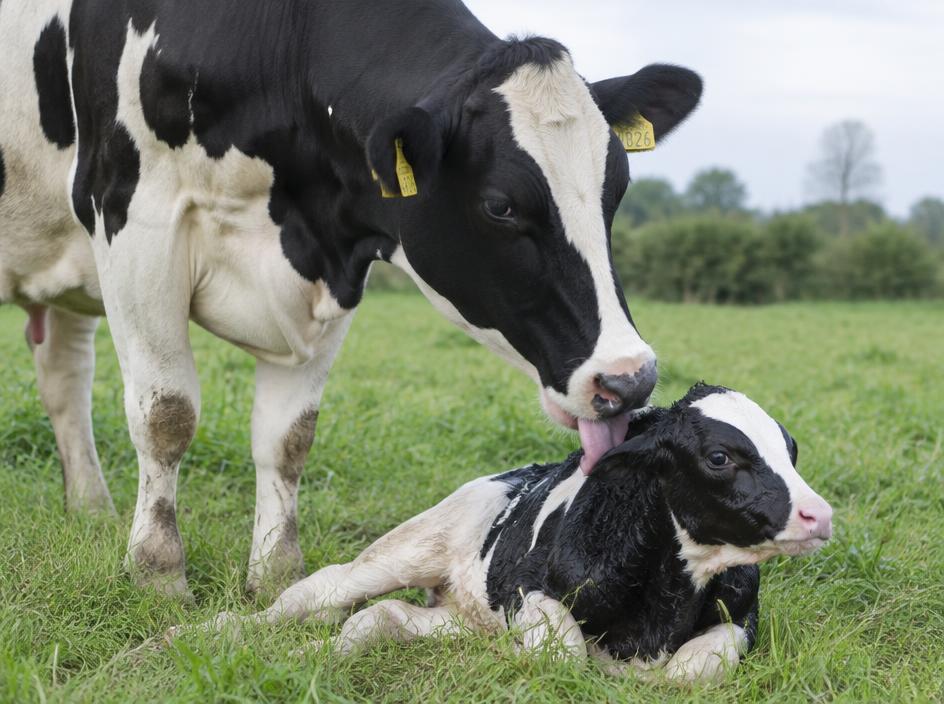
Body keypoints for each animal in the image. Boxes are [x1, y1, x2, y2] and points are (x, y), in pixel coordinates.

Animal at [0, 0, 702, 598]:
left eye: (617, 188)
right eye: (501, 205)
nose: (630, 378)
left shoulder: (331, 266)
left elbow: (289, 437)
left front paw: (276, 575)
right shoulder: (133, 217)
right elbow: (166, 415)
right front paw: (158, 575)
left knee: (64, 379)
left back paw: (90, 508)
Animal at [167, 383, 834, 682]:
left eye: (792, 450)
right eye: (721, 457)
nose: (818, 515)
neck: (660, 607)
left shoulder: (740, 621)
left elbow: (696, 667)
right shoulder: (527, 591)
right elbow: (565, 655)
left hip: (461, 613)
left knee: (382, 619)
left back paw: (317, 655)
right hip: (408, 547)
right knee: (317, 593)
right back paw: (200, 635)